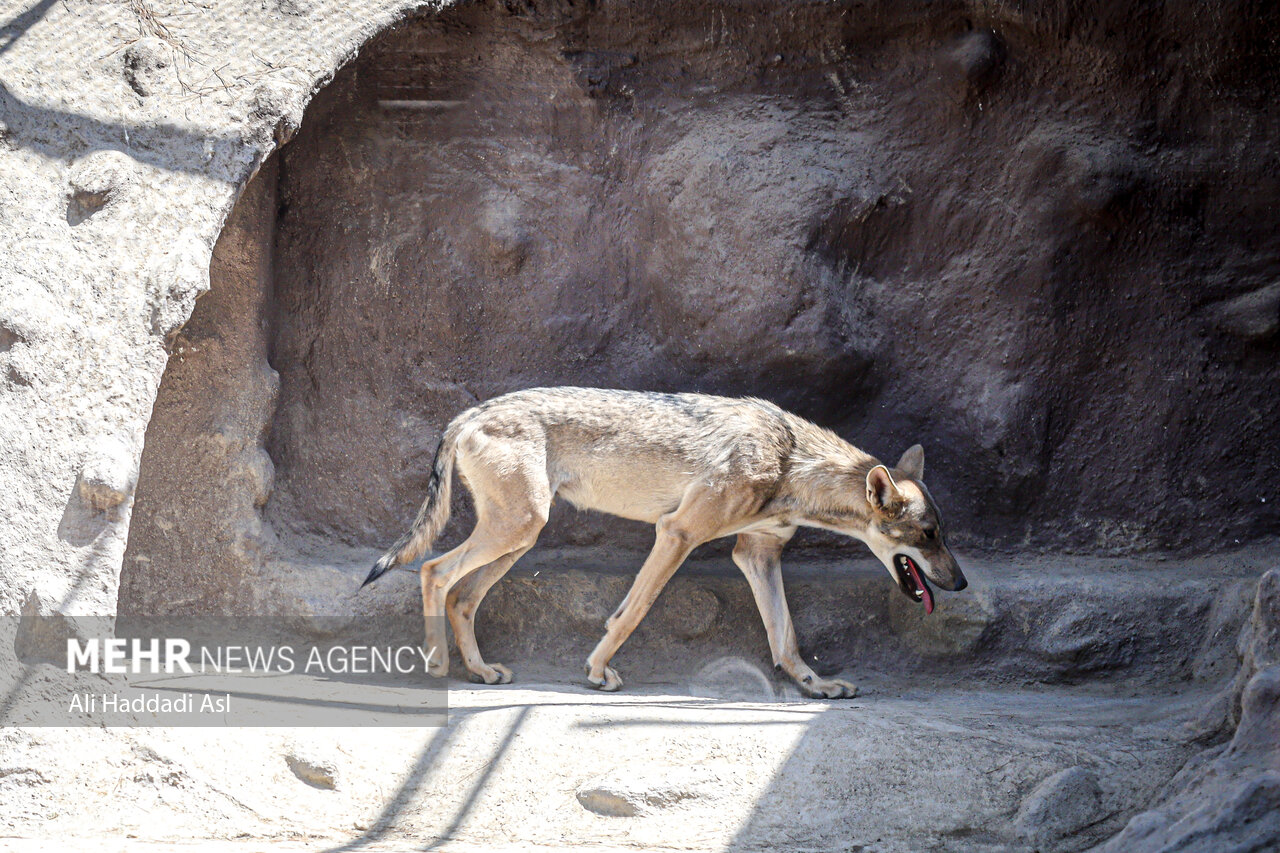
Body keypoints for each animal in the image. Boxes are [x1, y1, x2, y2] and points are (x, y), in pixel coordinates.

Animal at [366, 384, 962, 691]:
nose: (959, 584)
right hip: (518, 528)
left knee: (462, 597)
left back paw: (480, 670)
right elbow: (630, 614)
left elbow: (785, 637)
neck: (790, 459)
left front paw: (814, 685)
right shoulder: (677, 533)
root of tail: (470, 412)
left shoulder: (757, 554)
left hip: (520, 538)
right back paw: (439, 665)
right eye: (929, 535)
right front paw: (596, 670)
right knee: (433, 570)